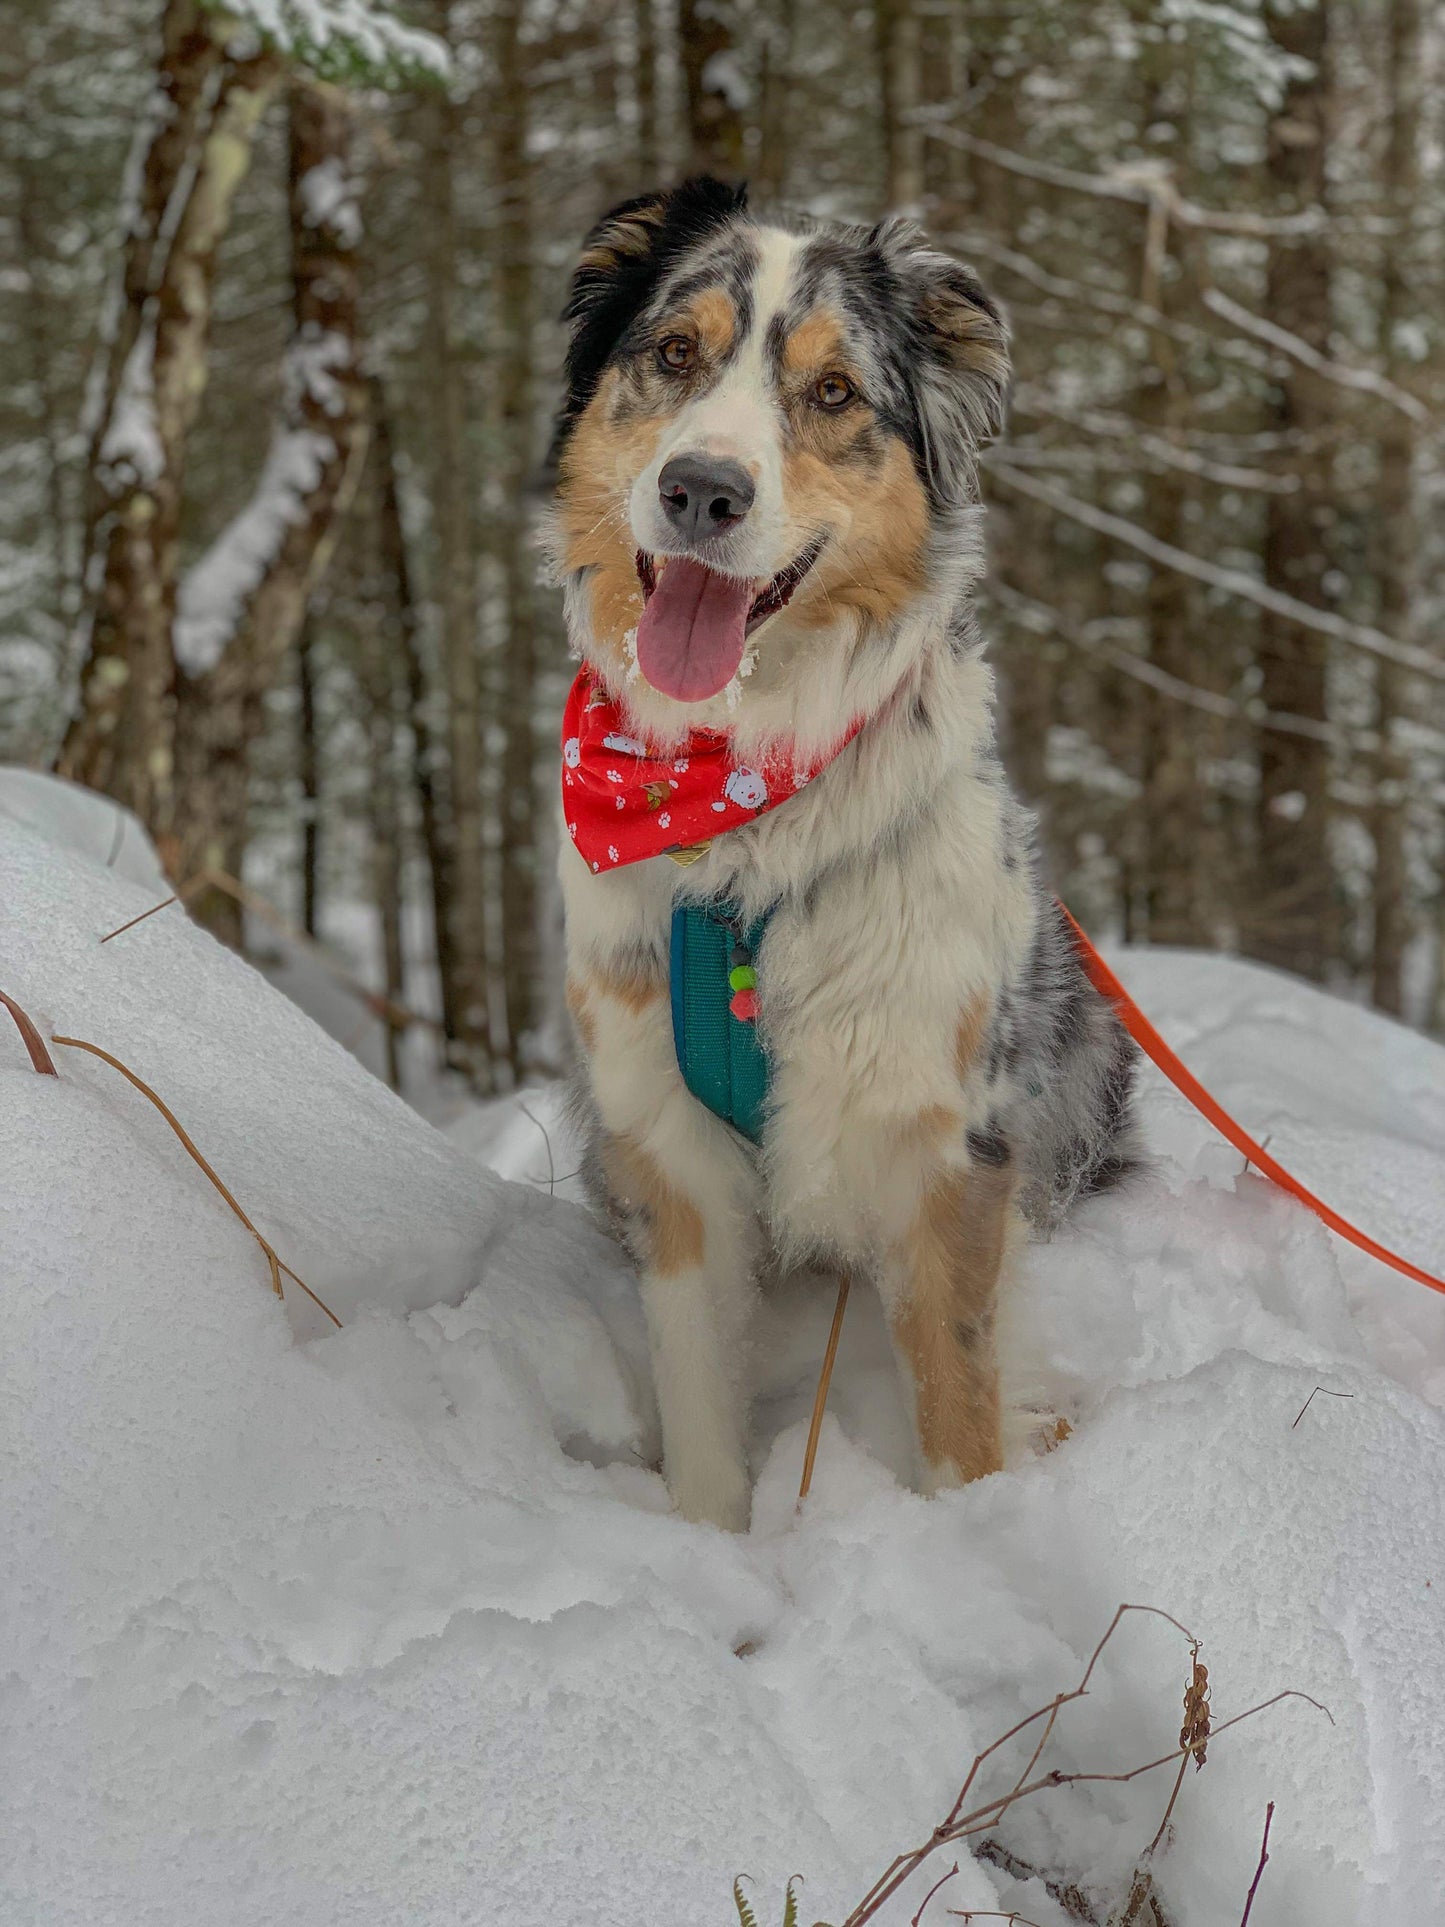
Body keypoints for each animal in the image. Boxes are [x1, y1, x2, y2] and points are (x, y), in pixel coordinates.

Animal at [547, 181, 1140, 1533]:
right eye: (673, 353)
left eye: (831, 392)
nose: (701, 491)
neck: (737, 822)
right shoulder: (662, 1143)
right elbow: (699, 1403)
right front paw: (707, 1547)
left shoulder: (941, 1137)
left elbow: (958, 1396)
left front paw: (970, 1527)